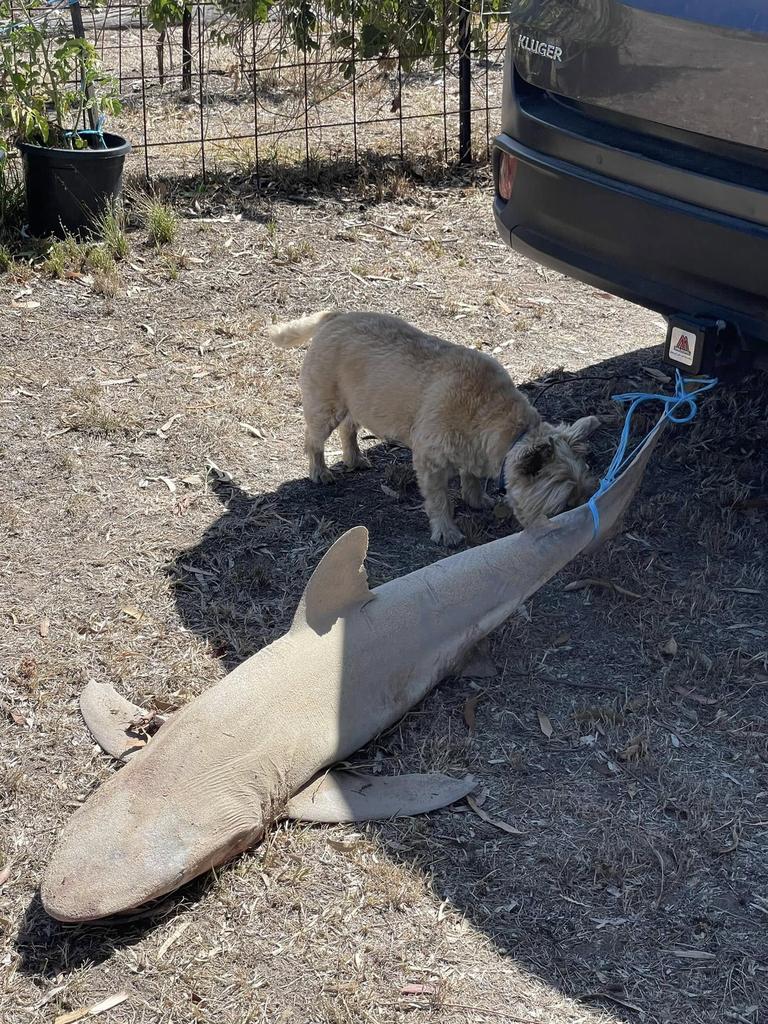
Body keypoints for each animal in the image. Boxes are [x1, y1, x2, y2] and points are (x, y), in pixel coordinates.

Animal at [270, 309, 602, 544]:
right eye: (562, 505)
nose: (581, 528)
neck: (497, 418)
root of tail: (336, 316)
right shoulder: (430, 460)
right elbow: (440, 499)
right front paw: (447, 531)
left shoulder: (474, 451)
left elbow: (472, 479)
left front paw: (477, 500)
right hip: (326, 407)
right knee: (314, 440)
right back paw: (320, 472)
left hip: (356, 402)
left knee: (348, 429)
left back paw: (354, 458)